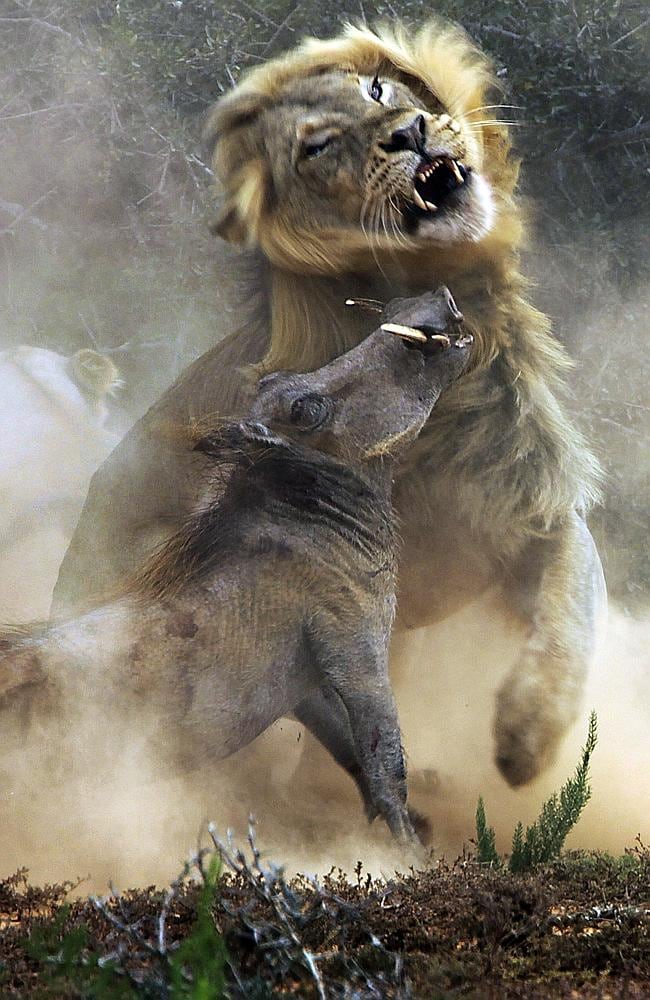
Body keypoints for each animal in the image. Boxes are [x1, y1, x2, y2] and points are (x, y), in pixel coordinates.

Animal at [53, 19, 605, 793]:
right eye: (316, 148)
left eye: (379, 89)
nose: (410, 132)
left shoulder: (538, 514)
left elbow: (571, 614)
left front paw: (526, 739)